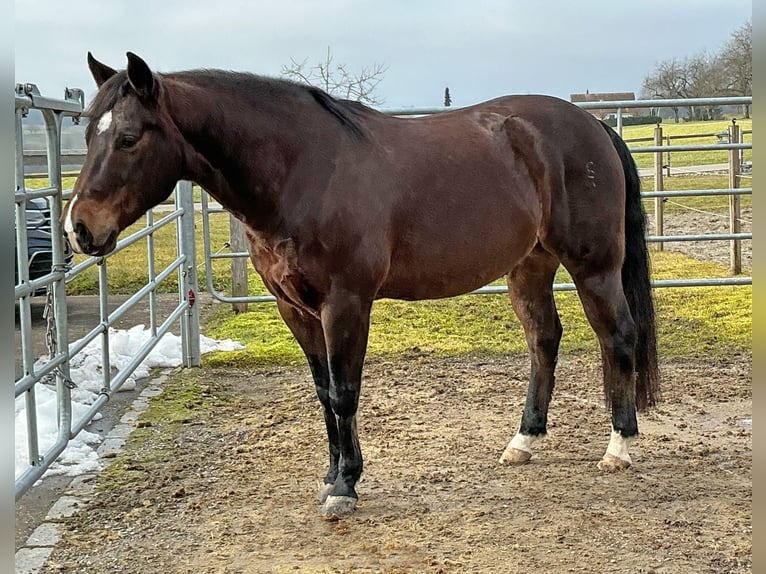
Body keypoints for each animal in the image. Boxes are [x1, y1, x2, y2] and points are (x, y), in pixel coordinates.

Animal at [63, 52, 659, 517]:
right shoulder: (295, 310)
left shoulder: (345, 304)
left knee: (617, 336)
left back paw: (619, 446)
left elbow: (346, 392)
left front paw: (345, 488)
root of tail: (594, 126)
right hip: (529, 267)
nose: (78, 229)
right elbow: (324, 393)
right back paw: (523, 440)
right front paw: (331, 477)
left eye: (128, 138)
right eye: (88, 131)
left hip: (593, 266)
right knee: (544, 339)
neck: (302, 169)